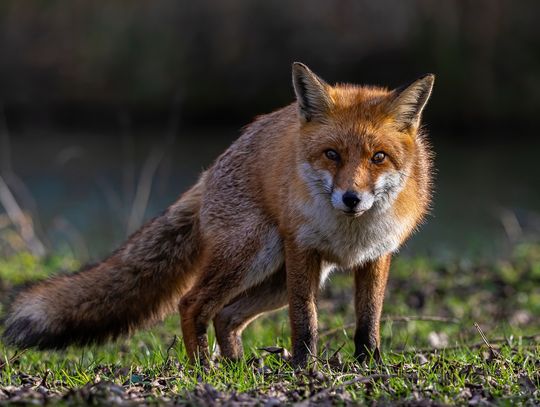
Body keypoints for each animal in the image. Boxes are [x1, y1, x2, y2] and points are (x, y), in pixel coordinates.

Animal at [2, 63, 434, 366]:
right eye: (332, 154)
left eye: (378, 157)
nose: (351, 199)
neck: (350, 233)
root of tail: (209, 171)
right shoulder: (302, 250)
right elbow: (305, 321)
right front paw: (304, 367)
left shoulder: (377, 255)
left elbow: (368, 321)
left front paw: (369, 366)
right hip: (256, 257)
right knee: (192, 304)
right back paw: (203, 368)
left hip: (277, 278)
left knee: (226, 315)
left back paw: (237, 366)